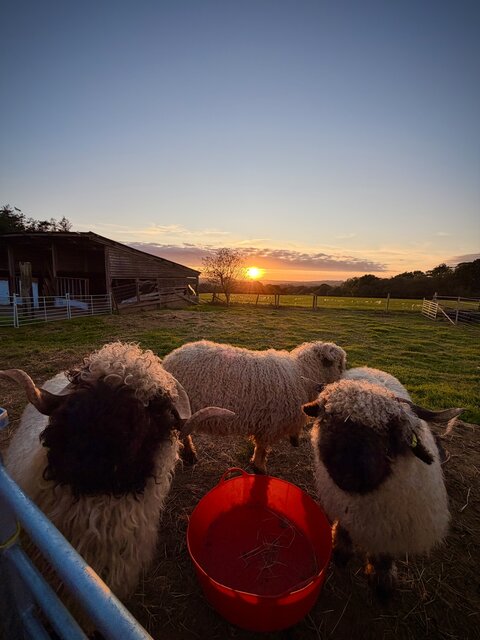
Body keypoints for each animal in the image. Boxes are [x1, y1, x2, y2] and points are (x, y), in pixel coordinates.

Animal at [162, 339, 347, 473]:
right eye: (339, 364)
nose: (344, 380)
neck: (301, 374)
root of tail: (169, 359)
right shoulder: (270, 423)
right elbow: (262, 447)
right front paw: (259, 468)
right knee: (184, 434)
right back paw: (190, 455)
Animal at [302, 378, 462, 600]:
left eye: (388, 432)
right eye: (327, 420)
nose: (347, 474)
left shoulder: (392, 525)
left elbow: (385, 553)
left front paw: (382, 578)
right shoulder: (344, 504)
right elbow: (344, 527)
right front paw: (341, 549)